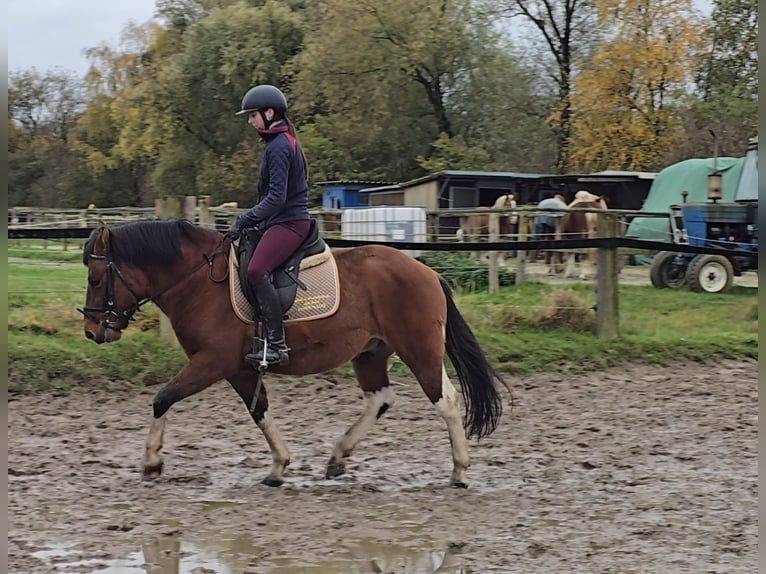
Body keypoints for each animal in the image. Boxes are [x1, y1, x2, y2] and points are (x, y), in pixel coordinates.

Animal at [79, 220, 510, 490]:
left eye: (96, 279)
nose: (92, 332)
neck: (199, 281)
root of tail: (427, 271)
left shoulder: (213, 362)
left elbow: (162, 397)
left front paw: (152, 462)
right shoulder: (239, 369)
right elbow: (259, 411)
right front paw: (278, 467)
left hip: (419, 349)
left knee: (446, 401)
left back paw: (460, 472)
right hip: (370, 354)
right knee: (380, 399)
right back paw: (338, 456)